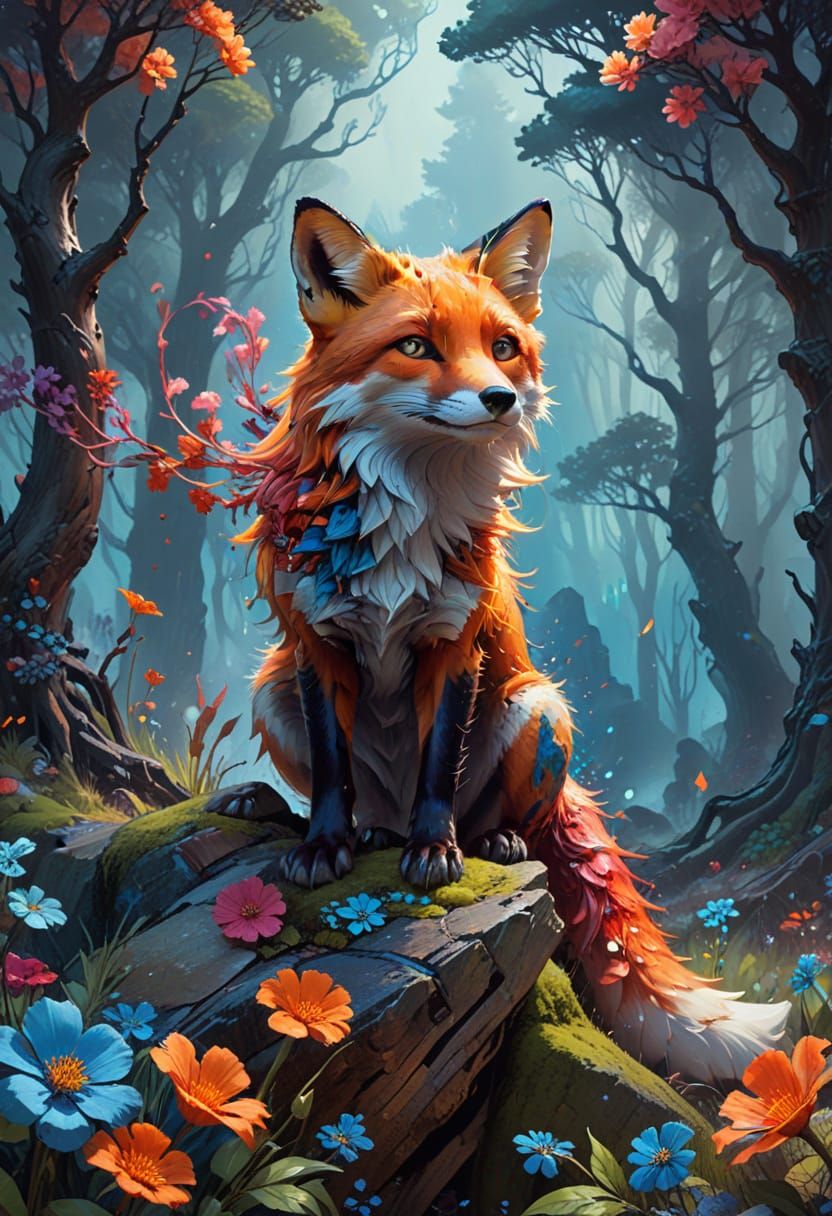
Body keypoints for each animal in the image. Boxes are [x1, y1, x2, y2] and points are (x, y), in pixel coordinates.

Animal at [237, 197, 789, 1082]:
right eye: (417, 345)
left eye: (503, 345)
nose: (500, 398)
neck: (402, 526)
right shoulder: (314, 644)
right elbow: (329, 769)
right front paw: (322, 846)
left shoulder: (455, 645)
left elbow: (438, 764)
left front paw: (436, 852)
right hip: (270, 689)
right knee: (355, 797)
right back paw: (317, 818)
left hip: (540, 707)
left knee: (507, 816)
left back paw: (486, 835)